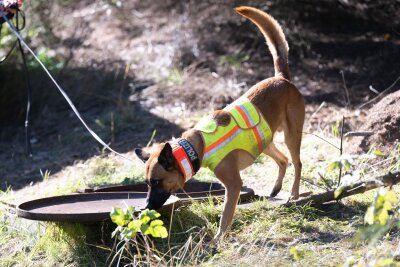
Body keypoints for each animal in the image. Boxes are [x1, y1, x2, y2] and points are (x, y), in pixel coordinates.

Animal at [134, 5, 304, 241]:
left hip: (291, 135)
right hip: (264, 141)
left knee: (297, 163)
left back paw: (294, 194)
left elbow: (226, 215)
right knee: (283, 160)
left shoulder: (233, 185)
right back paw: (276, 189)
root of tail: (281, 78)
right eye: (147, 183)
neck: (196, 147)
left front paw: (218, 240)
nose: (146, 206)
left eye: (157, 182)